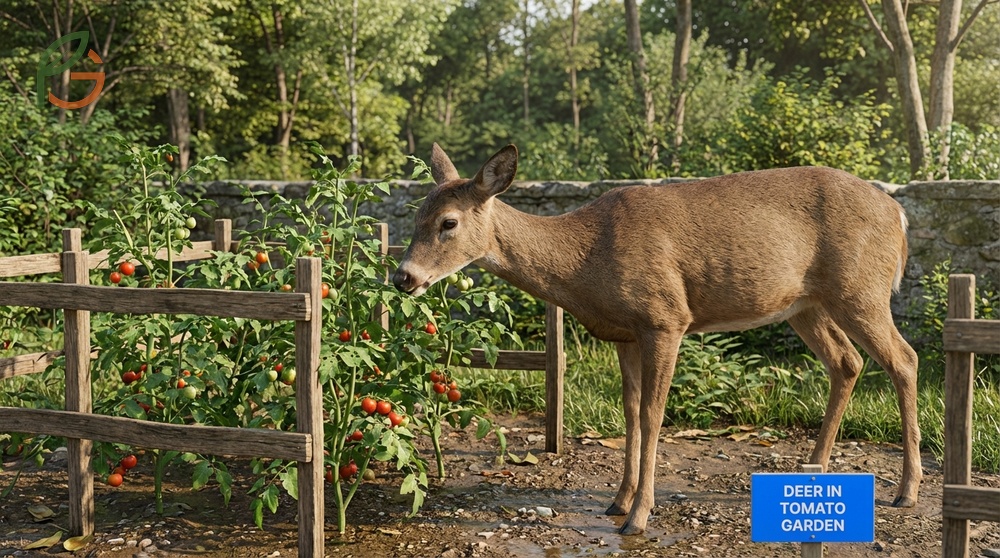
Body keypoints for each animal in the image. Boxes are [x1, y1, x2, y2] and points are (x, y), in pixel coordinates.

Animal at [392, 143, 920, 535]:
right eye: (415, 218)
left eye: (449, 222)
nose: (403, 277)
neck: (586, 259)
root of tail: (898, 213)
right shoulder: (624, 333)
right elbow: (628, 411)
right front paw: (617, 501)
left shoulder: (666, 318)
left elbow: (652, 413)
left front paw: (639, 516)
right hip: (805, 304)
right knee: (847, 362)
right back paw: (812, 469)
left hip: (860, 288)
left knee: (904, 359)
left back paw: (907, 489)